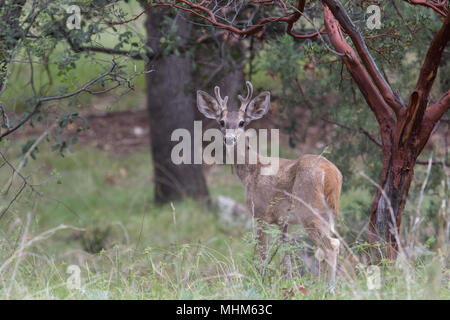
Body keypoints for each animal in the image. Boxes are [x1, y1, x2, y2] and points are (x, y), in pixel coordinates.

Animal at [196, 80, 342, 282]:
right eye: (222, 122)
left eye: (242, 122)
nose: (229, 139)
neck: (251, 172)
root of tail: (330, 174)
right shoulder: (283, 222)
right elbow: (286, 255)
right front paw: (289, 282)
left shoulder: (259, 213)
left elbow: (263, 256)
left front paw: (261, 281)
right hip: (327, 214)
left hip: (308, 209)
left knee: (331, 245)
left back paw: (330, 286)